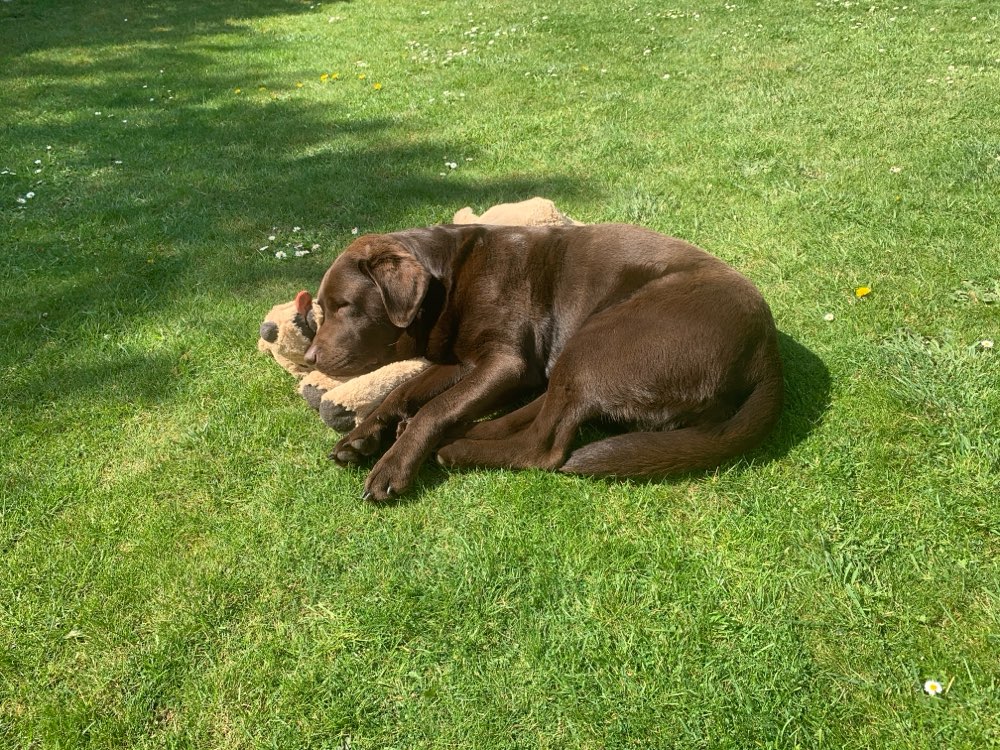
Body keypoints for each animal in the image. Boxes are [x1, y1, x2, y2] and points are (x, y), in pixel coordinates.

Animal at [304, 226, 780, 502]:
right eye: (321, 309)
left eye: (344, 306)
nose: (309, 357)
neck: (448, 280)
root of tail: (767, 352)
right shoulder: (463, 362)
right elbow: (403, 392)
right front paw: (362, 437)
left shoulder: (505, 362)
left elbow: (435, 409)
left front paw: (393, 466)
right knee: (542, 412)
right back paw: (465, 432)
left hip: (599, 340)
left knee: (545, 446)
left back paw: (457, 448)